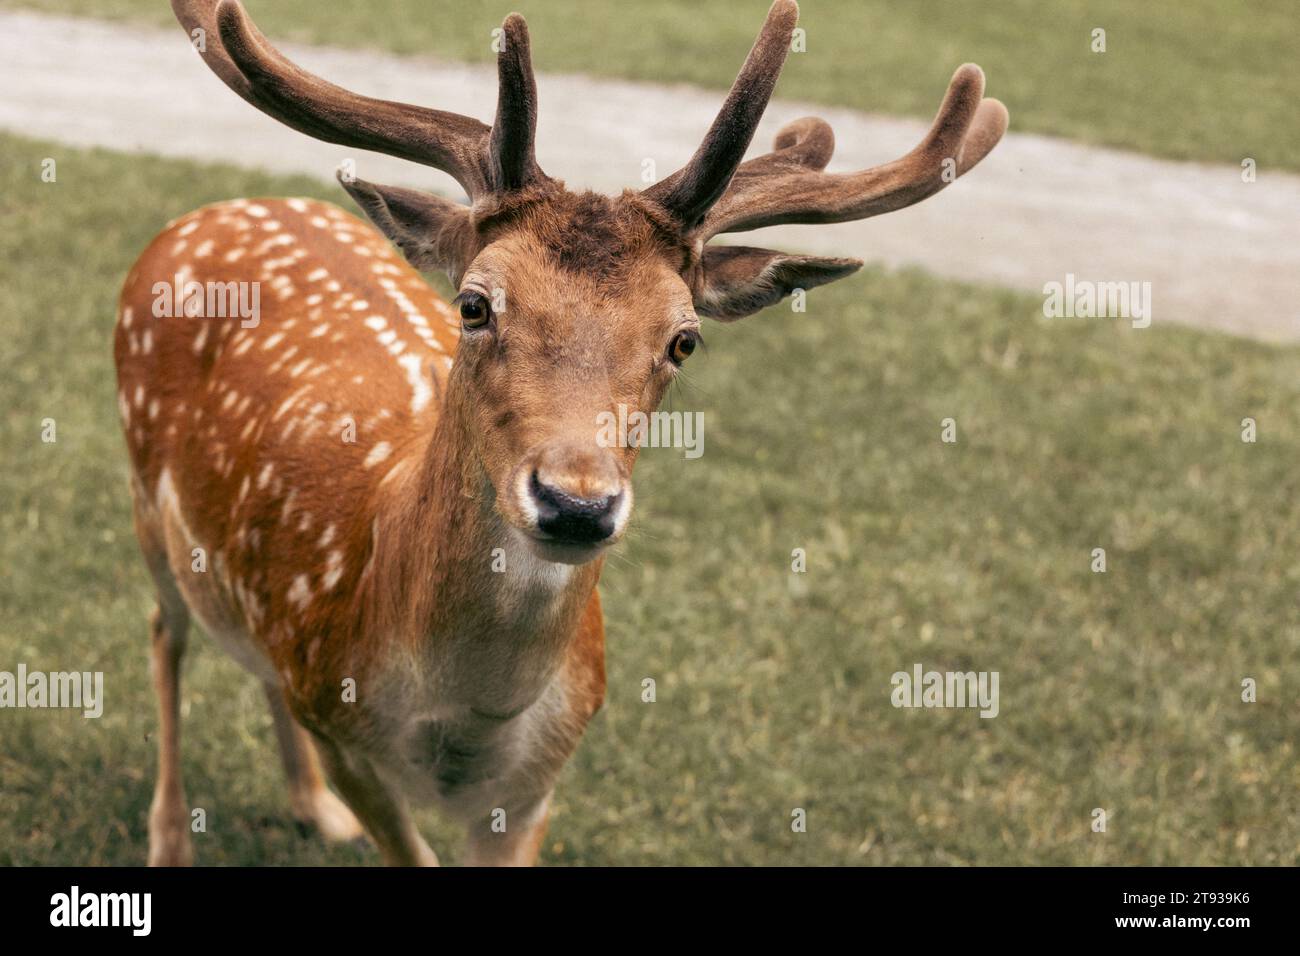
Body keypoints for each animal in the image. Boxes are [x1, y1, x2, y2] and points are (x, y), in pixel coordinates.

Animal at [116, 0, 1006, 865]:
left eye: (684, 340)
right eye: (473, 304)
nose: (575, 504)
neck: (465, 722)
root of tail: (217, 209)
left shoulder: (541, 782)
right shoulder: (334, 718)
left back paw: (312, 810)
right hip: (145, 494)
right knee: (165, 634)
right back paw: (170, 839)